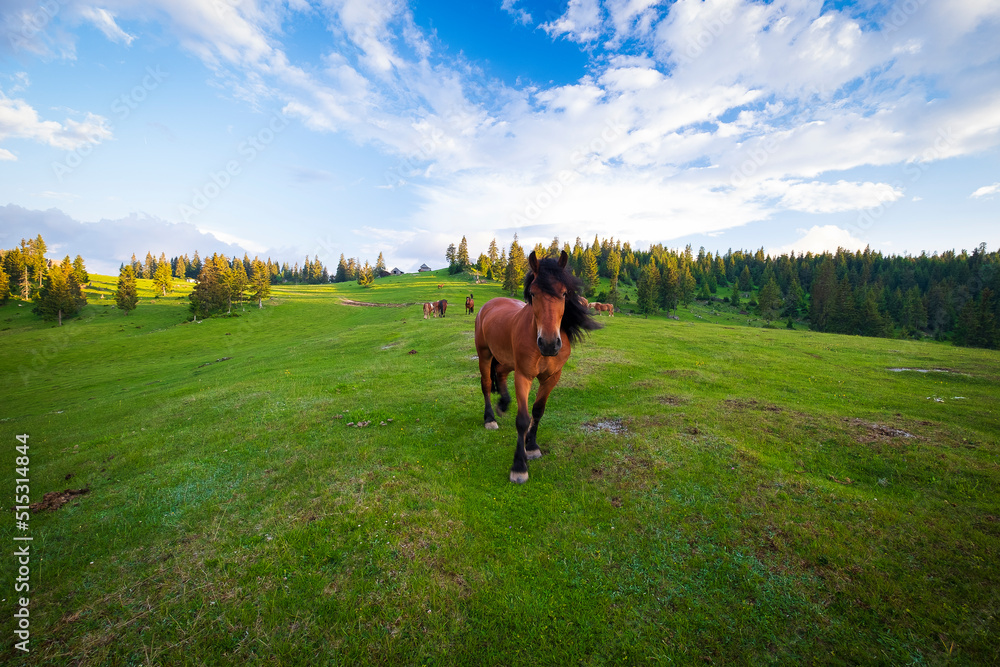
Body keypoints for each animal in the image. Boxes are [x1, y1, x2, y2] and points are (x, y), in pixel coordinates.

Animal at [474, 250, 601, 483]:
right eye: (533, 294)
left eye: (564, 293)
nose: (549, 344)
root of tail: (490, 303)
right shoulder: (523, 375)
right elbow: (523, 419)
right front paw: (519, 466)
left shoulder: (552, 378)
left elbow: (538, 411)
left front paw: (531, 446)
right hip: (485, 355)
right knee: (486, 384)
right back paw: (490, 418)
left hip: (506, 360)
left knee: (500, 374)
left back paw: (503, 403)